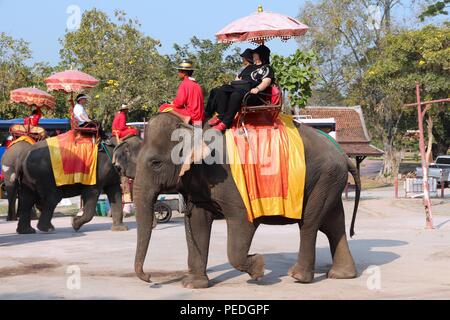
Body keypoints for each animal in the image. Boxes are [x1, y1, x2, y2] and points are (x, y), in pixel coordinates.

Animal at [132, 114, 360, 288]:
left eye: (155, 163)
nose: (149, 278)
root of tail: (343, 155)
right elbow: (197, 222)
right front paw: (193, 285)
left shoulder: (231, 184)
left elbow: (242, 224)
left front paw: (258, 268)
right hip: (329, 180)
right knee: (333, 224)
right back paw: (342, 275)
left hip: (323, 179)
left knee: (310, 223)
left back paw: (298, 277)